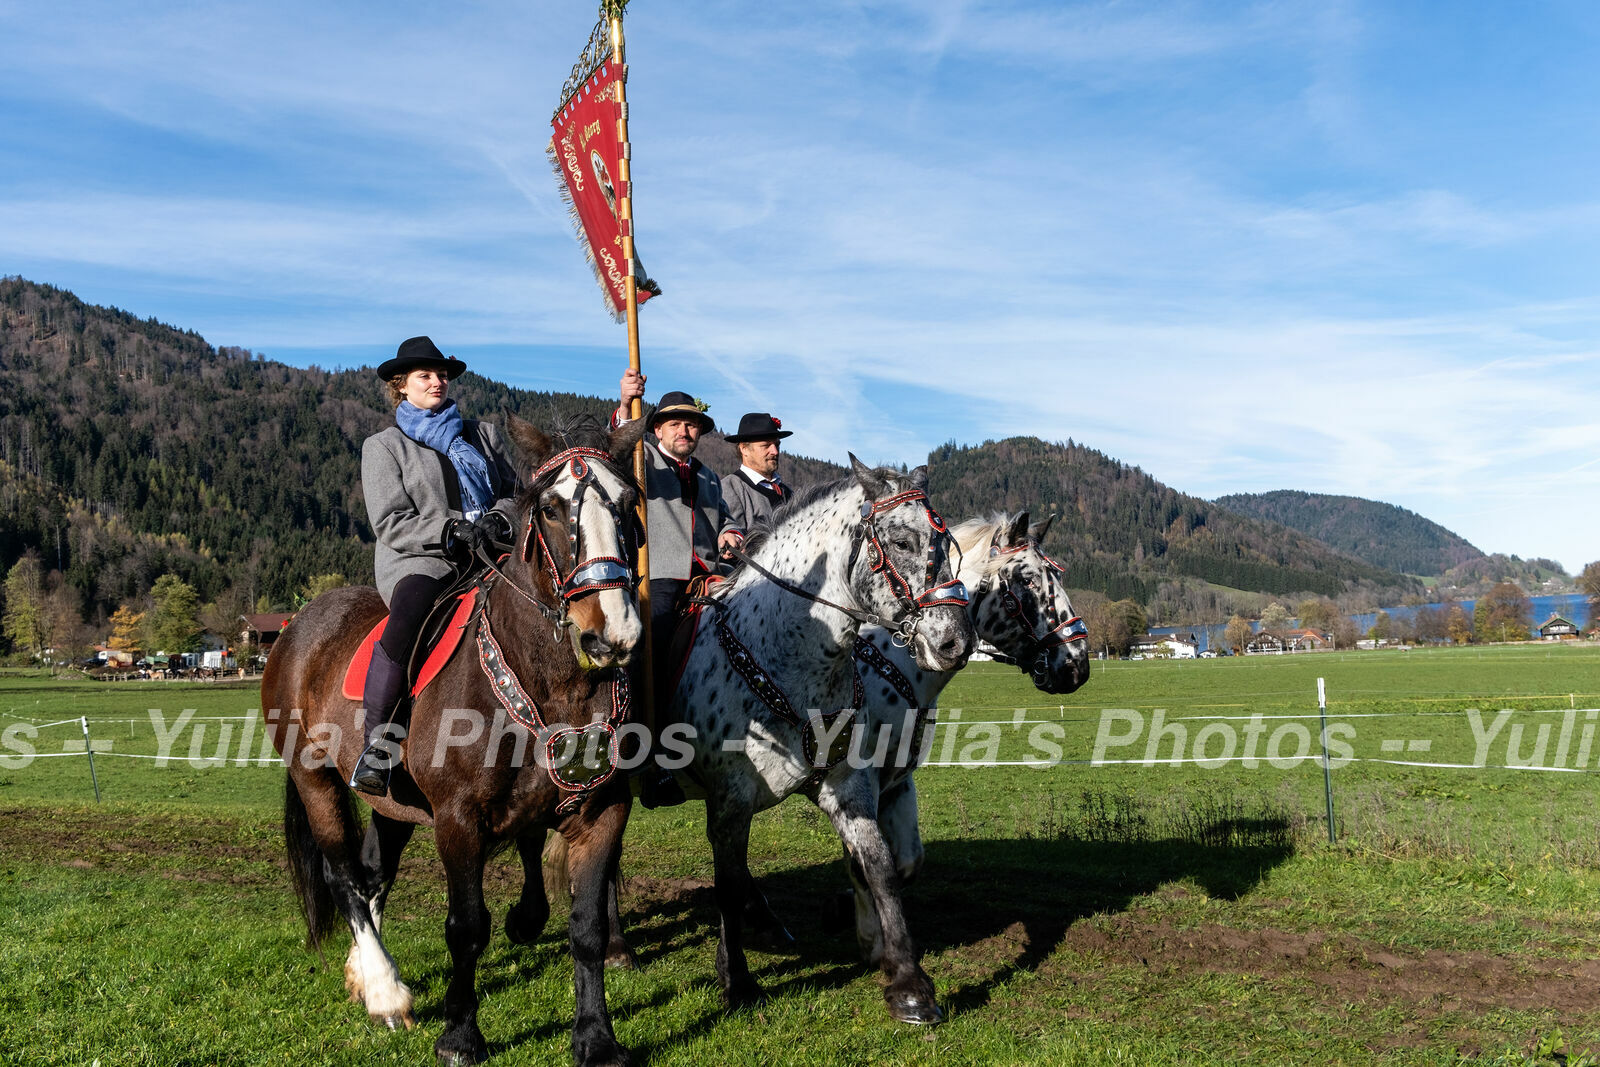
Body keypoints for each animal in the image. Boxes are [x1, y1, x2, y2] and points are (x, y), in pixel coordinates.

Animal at [262, 412, 643, 1062]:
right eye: (549, 508)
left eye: (627, 502)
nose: (611, 634)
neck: (552, 682)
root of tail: (297, 625)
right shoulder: (458, 819)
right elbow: (467, 927)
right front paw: (461, 1034)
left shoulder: (600, 812)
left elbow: (587, 929)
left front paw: (596, 1037)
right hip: (314, 779)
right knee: (344, 877)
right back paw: (385, 991)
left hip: (389, 803)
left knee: (373, 874)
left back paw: (364, 972)